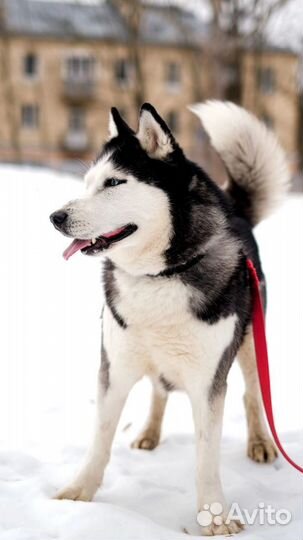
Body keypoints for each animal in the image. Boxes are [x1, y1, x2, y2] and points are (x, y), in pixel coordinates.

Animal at [50, 102, 290, 536]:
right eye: (88, 183)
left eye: (114, 182)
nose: (55, 217)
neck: (158, 276)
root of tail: (237, 211)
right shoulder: (115, 366)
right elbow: (100, 440)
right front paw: (79, 492)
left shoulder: (208, 381)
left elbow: (207, 457)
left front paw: (214, 516)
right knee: (158, 390)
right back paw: (149, 432)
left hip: (250, 339)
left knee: (252, 394)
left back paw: (261, 443)